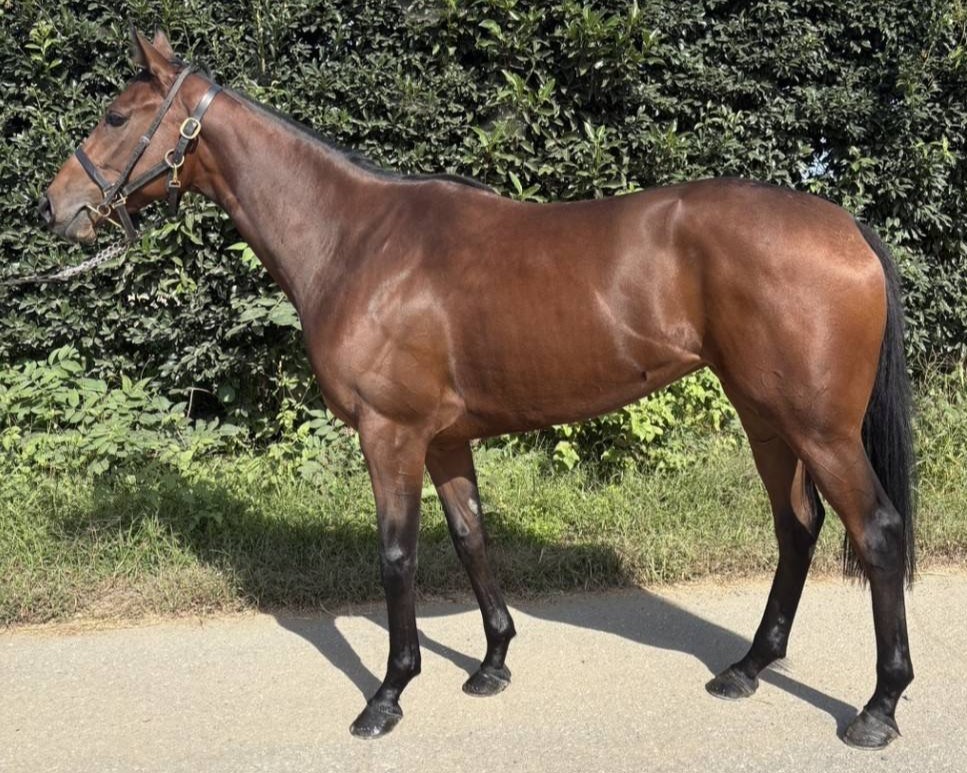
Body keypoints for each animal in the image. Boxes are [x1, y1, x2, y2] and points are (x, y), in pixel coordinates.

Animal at [40, 28, 916, 750]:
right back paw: (747, 667)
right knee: (797, 526)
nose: (57, 206)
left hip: (818, 428)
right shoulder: (445, 439)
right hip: (763, 415)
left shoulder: (388, 432)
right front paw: (492, 661)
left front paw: (387, 695)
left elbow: (397, 554)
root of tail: (844, 225)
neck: (357, 240)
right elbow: (469, 537)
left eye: (116, 116)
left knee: (874, 530)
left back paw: (877, 707)